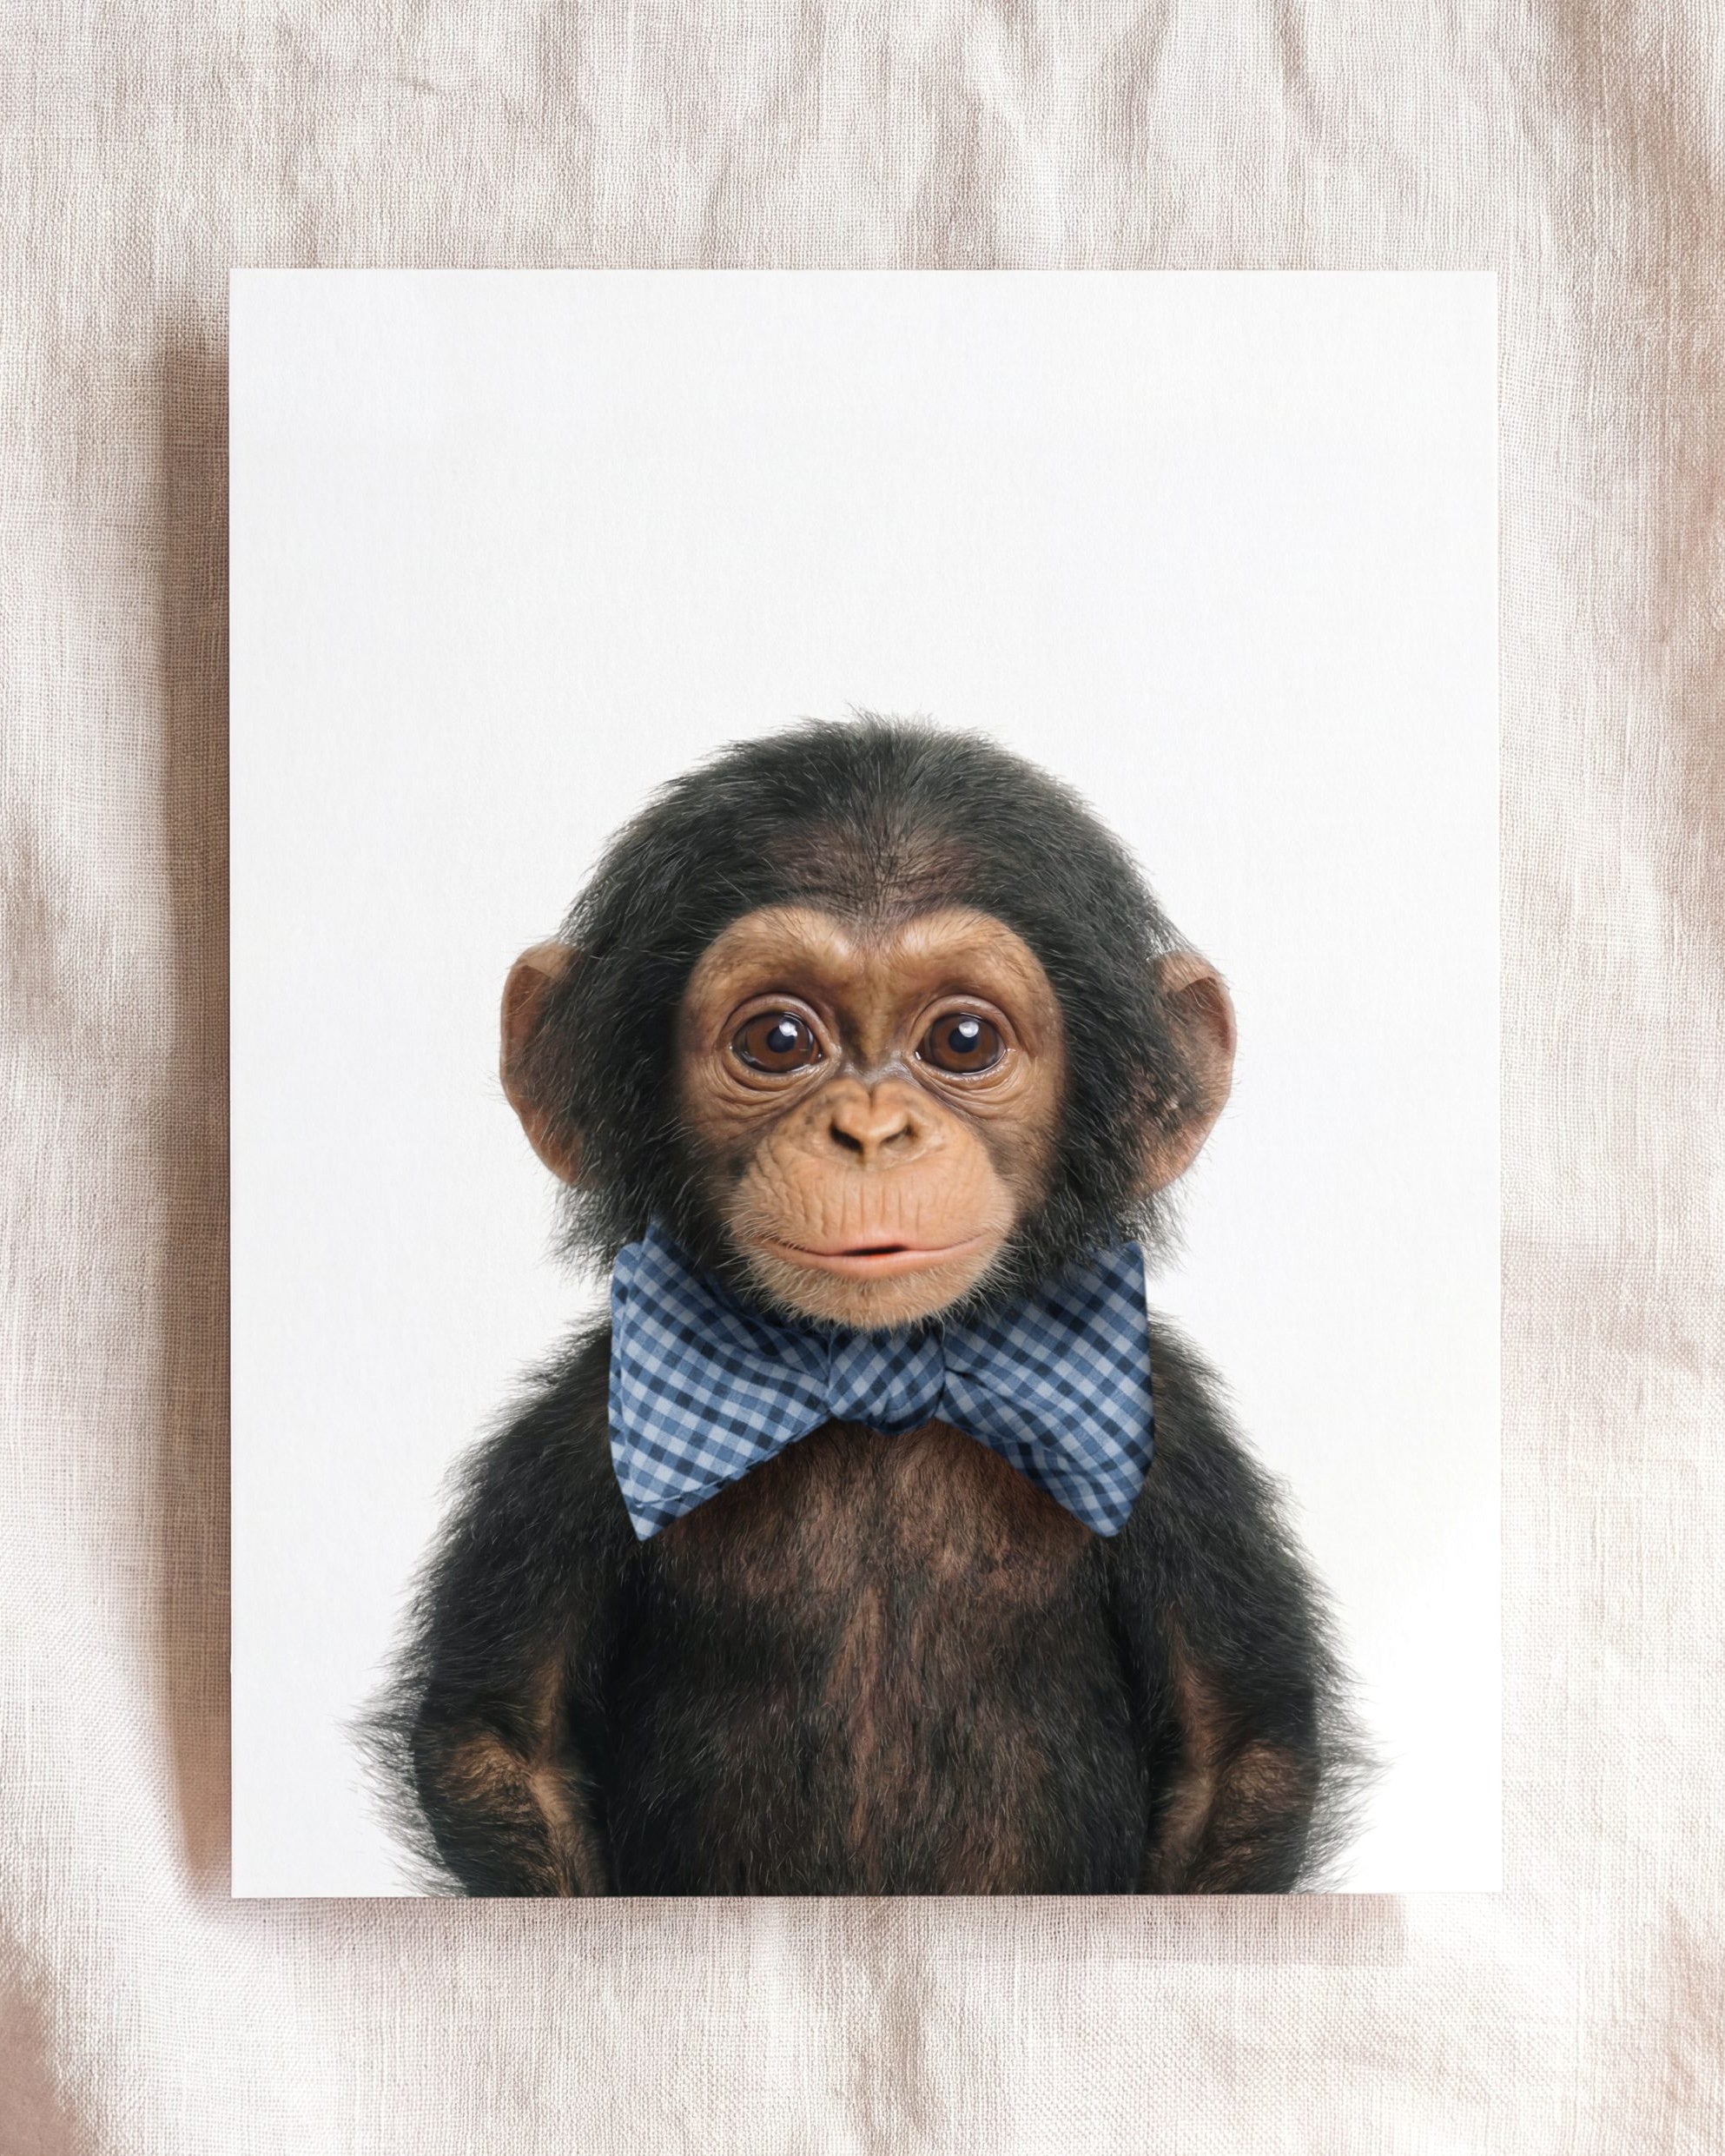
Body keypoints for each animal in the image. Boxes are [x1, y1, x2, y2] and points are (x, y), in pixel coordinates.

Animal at [367, 717, 1366, 1895]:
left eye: (964, 1042)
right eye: (779, 1040)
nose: (873, 1130)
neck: (874, 1373)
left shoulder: (1174, 1448)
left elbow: (1235, 1755)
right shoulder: (571, 1439)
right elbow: (502, 1743)